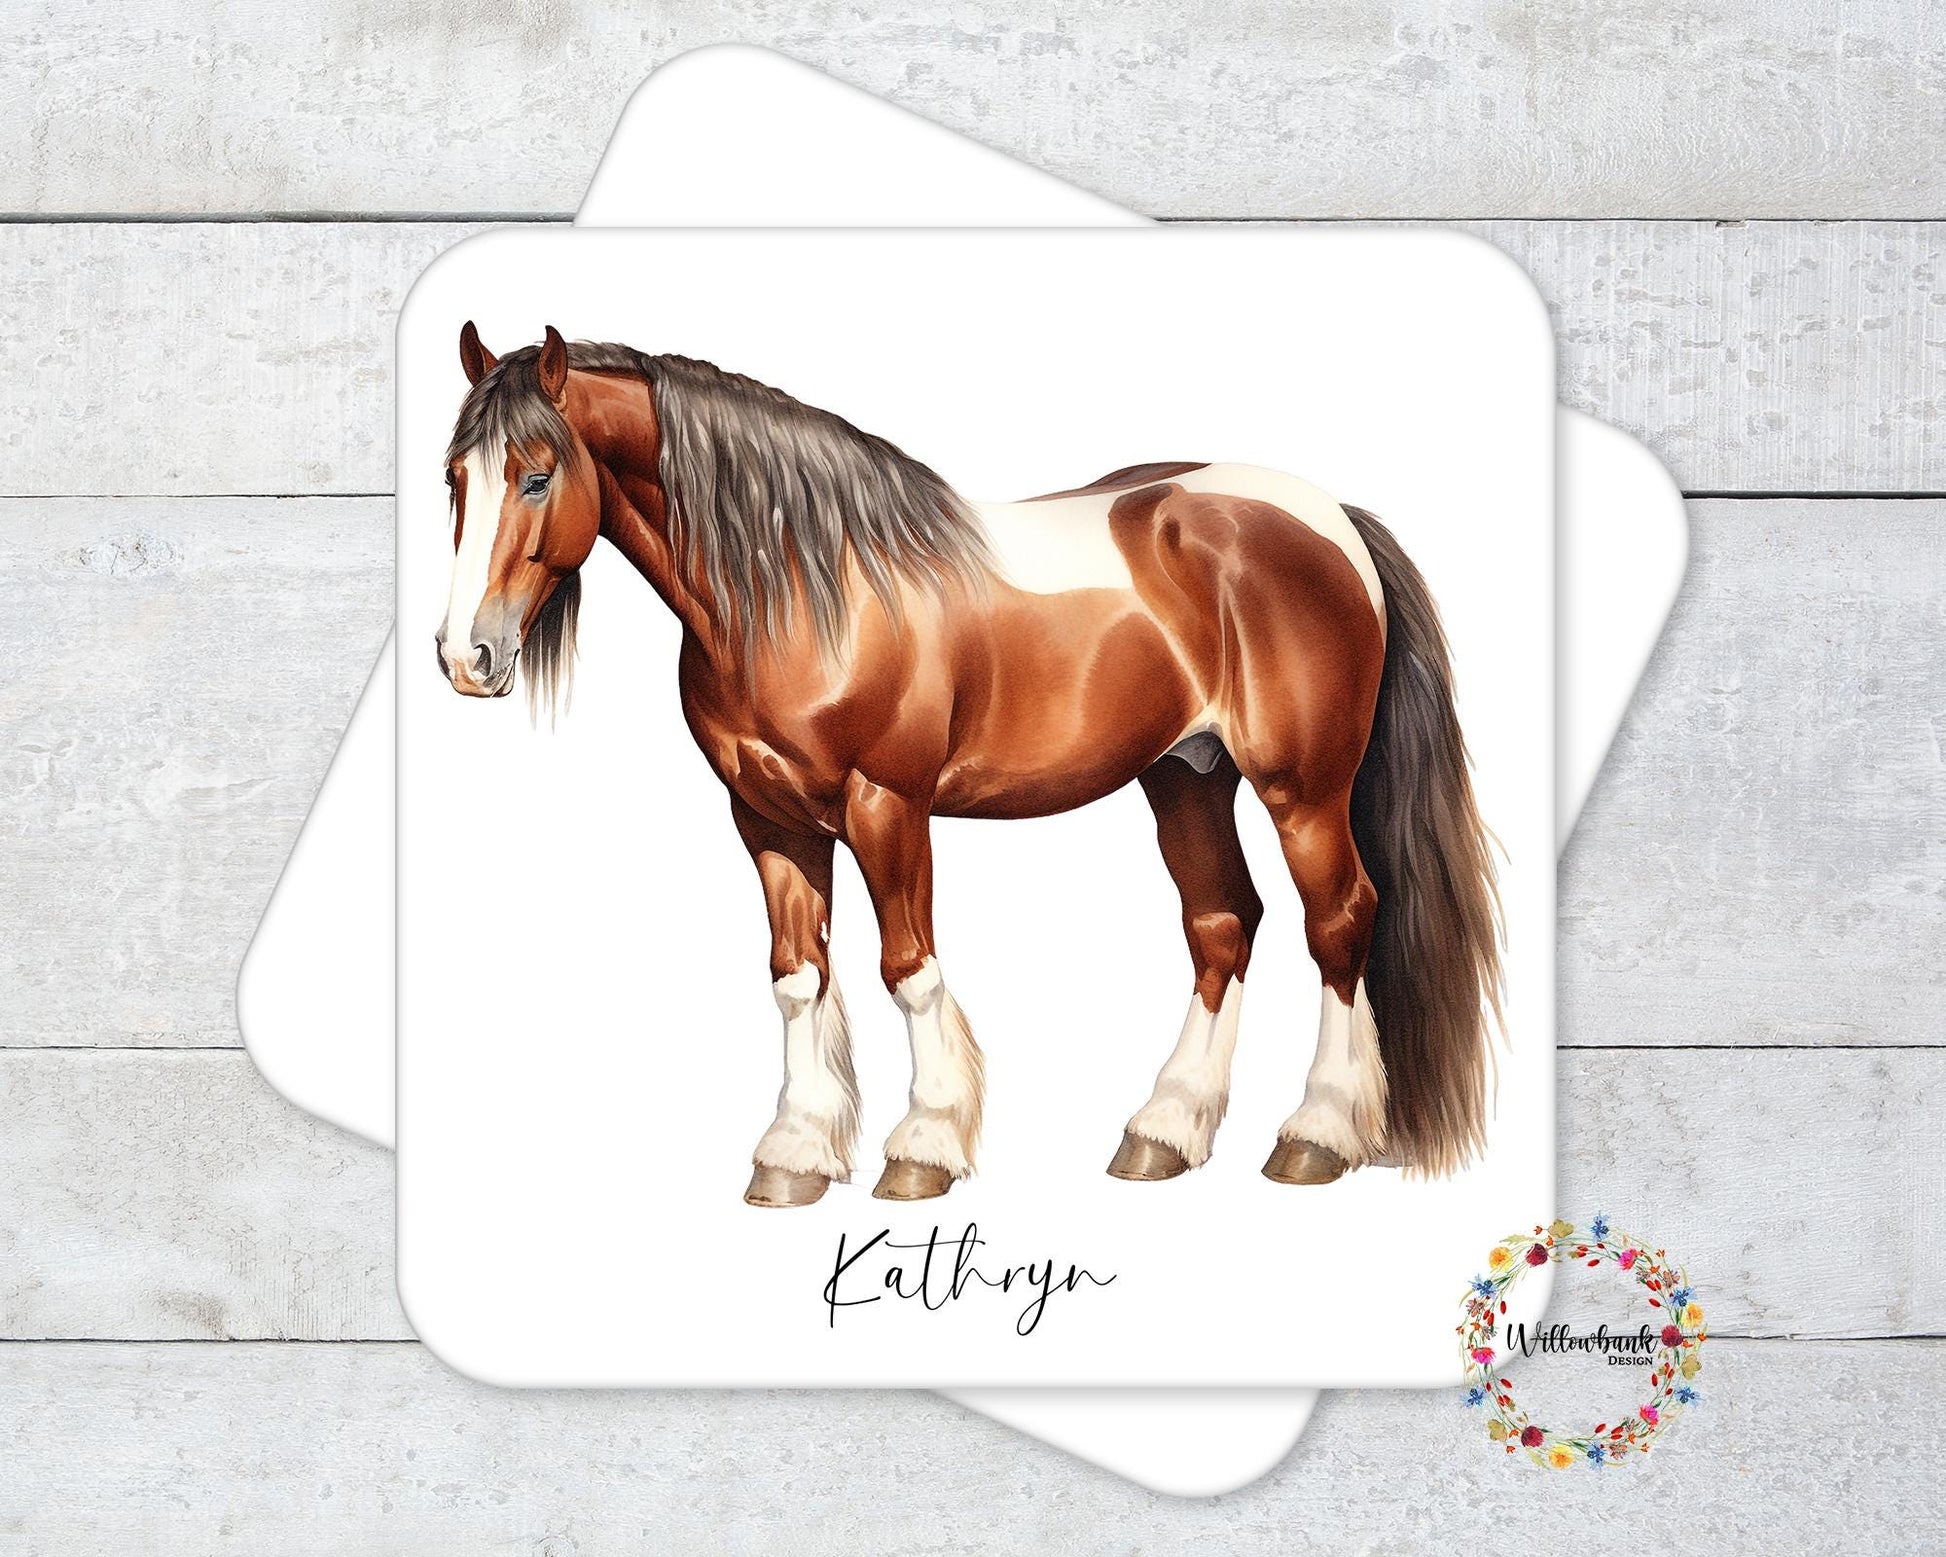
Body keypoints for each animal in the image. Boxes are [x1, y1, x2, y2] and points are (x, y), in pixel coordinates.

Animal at [434, 323, 1502, 1208]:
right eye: (456, 479)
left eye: (536, 475)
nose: (465, 657)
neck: (805, 587)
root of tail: (1332, 519)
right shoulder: (766, 817)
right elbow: (797, 977)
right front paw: (794, 1152)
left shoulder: (887, 805)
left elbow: (908, 969)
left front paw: (923, 1146)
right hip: (1187, 776)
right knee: (1223, 923)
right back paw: (1163, 1129)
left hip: (1303, 792)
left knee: (1341, 919)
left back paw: (1316, 1132)